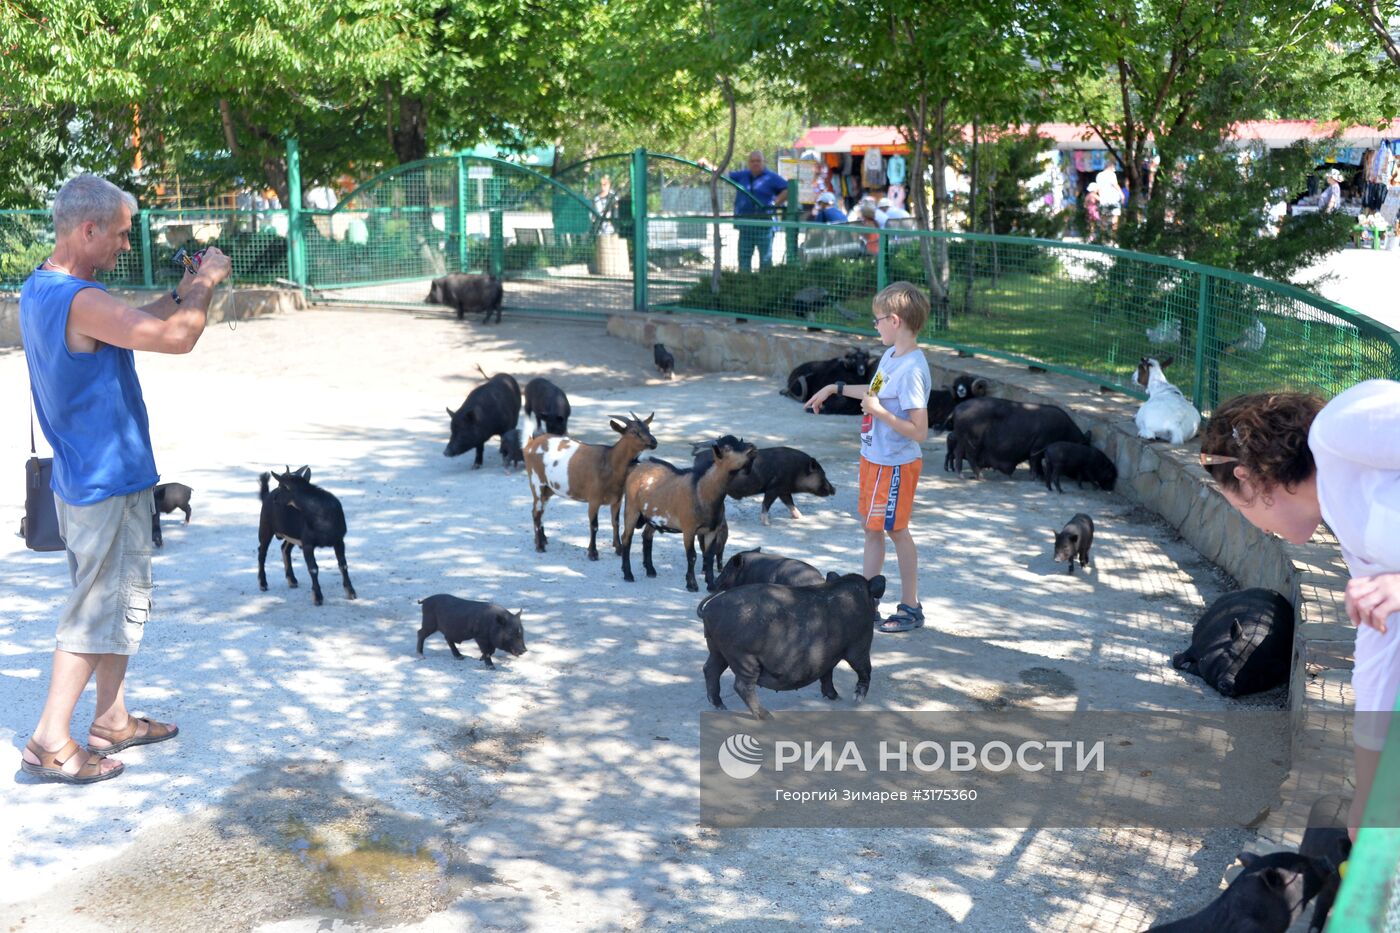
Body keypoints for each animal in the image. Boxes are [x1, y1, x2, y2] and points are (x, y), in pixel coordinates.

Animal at [526, 411, 658, 554]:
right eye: (634, 431)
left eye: (648, 428)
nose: (654, 442)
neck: (609, 461)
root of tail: (530, 444)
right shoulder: (594, 499)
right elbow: (594, 525)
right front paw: (593, 553)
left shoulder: (617, 499)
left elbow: (615, 522)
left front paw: (618, 548)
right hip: (536, 482)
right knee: (536, 512)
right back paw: (539, 546)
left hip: (548, 489)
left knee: (541, 511)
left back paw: (543, 539)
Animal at [621, 434, 756, 588]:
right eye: (727, 448)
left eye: (740, 441)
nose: (752, 447)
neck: (702, 490)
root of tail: (638, 466)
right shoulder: (689, 529)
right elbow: (692, 556)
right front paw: (692, 584)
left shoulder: (712, 530)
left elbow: (709, 556)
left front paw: (711, 583)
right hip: (631, 508)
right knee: (626, 538)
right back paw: (628, 574)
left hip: (653, 517)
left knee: (647, 536)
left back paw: (650, 570)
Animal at [688, 442, 828, 523]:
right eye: (823, 474)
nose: (832, 490)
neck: (798, 470)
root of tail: (697, 457)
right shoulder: (774, 488)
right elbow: (766, 503)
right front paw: (767, 523)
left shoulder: (783, 490)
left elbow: (789, 502)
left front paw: (801, 517)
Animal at [700, 565, 884, 717]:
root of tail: (709, 609)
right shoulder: (860, 645)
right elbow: (864, 669)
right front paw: (857, 699)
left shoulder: (828, 655)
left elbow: (827, 674)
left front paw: (835, 697)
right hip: (743, 656)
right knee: (742, 686)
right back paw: (767, 716)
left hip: (717, 649)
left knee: (710, 670)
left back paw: (720, 706)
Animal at [946, 395, 1086, 479]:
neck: (1065, 432)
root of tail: (956, 409)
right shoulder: (1039, 445)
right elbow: (1035, 460)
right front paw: (1036, 477)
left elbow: (1037, 461)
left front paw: (1040, 476)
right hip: (973, 440)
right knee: (969, 456)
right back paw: (979, 476)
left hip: (962, 439)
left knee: (958, 453)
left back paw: (961, 474)